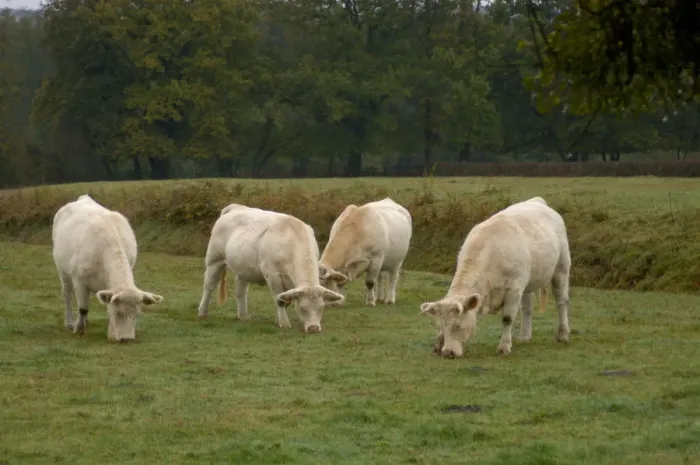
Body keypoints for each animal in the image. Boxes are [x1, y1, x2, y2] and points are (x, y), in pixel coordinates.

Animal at [51, 195, 164, 342]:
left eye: (137, 314)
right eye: (118, 312)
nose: (127, 339)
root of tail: (84, 198)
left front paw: (110, 332)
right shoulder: (78, 279)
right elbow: (83, 308)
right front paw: (79, 329)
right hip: (62, 270)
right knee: (67, 295)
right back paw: (69, 322)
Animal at [196, 204, 344, 333]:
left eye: (321, 308)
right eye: (302, 308)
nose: (313, 328)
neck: (293, 240)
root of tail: (235, 207)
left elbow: (286, 299)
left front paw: (278, 319)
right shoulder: (273, 275)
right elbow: (280, 299)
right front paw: (284, 322)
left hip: (244, 268)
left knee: (240, 289)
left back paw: (243, 315)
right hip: (214, 260)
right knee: (209, 286)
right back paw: (203, 312)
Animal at [420, 196, 571, 358]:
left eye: (458, 325)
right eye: (440, 325)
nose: (448, 352)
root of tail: (537, 201)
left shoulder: (513, 289)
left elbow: (507, 319)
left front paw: (504, 347)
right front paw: (438, 343)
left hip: (561, 269)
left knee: (561, 301)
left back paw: (563, 334)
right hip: (528, 282)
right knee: (527, 306)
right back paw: (524, 336)